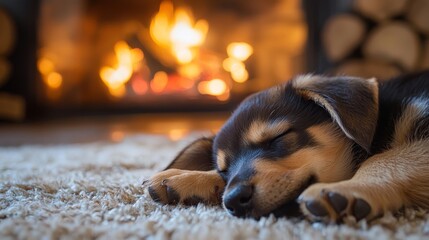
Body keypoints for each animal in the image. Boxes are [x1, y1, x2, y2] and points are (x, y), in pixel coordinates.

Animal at [145, 71, 428, 223]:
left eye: (277, 137)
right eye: (223, 169)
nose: (233, 199)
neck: (382, 120)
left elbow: (383, 158)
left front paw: (348, 188)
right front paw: (183, 179)